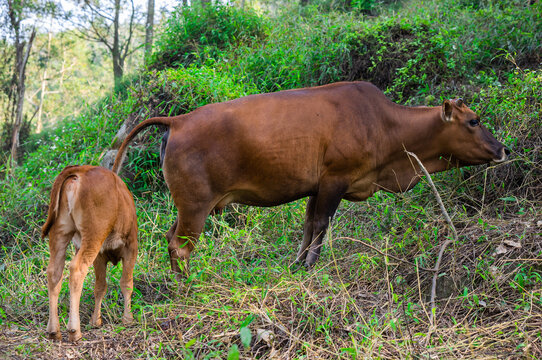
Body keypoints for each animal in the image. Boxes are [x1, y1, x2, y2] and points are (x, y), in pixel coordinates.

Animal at [43, 165, 139, 340]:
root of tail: (80, 170)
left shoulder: (100, 256)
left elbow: (100, 286)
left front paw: (96, 320)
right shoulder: (131, 245)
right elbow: (127, 283)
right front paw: (128, 319)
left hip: (60, 231)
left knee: (54, 271)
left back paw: (54, 330)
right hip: (93, 234)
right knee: (76, 270)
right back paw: (74, 330)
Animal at [110, 81, 510, 278]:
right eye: (473, 121)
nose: (503, 149)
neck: (383, 124)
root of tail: (178, 120)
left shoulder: (316, 188)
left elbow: (307, 226)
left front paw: (298, 262)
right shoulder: (335, 179)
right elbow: (321, 224)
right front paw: (309, 266)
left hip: (186, 205)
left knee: (169, 239)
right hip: (195, 206)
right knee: (181, 245)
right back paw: (187, 284)